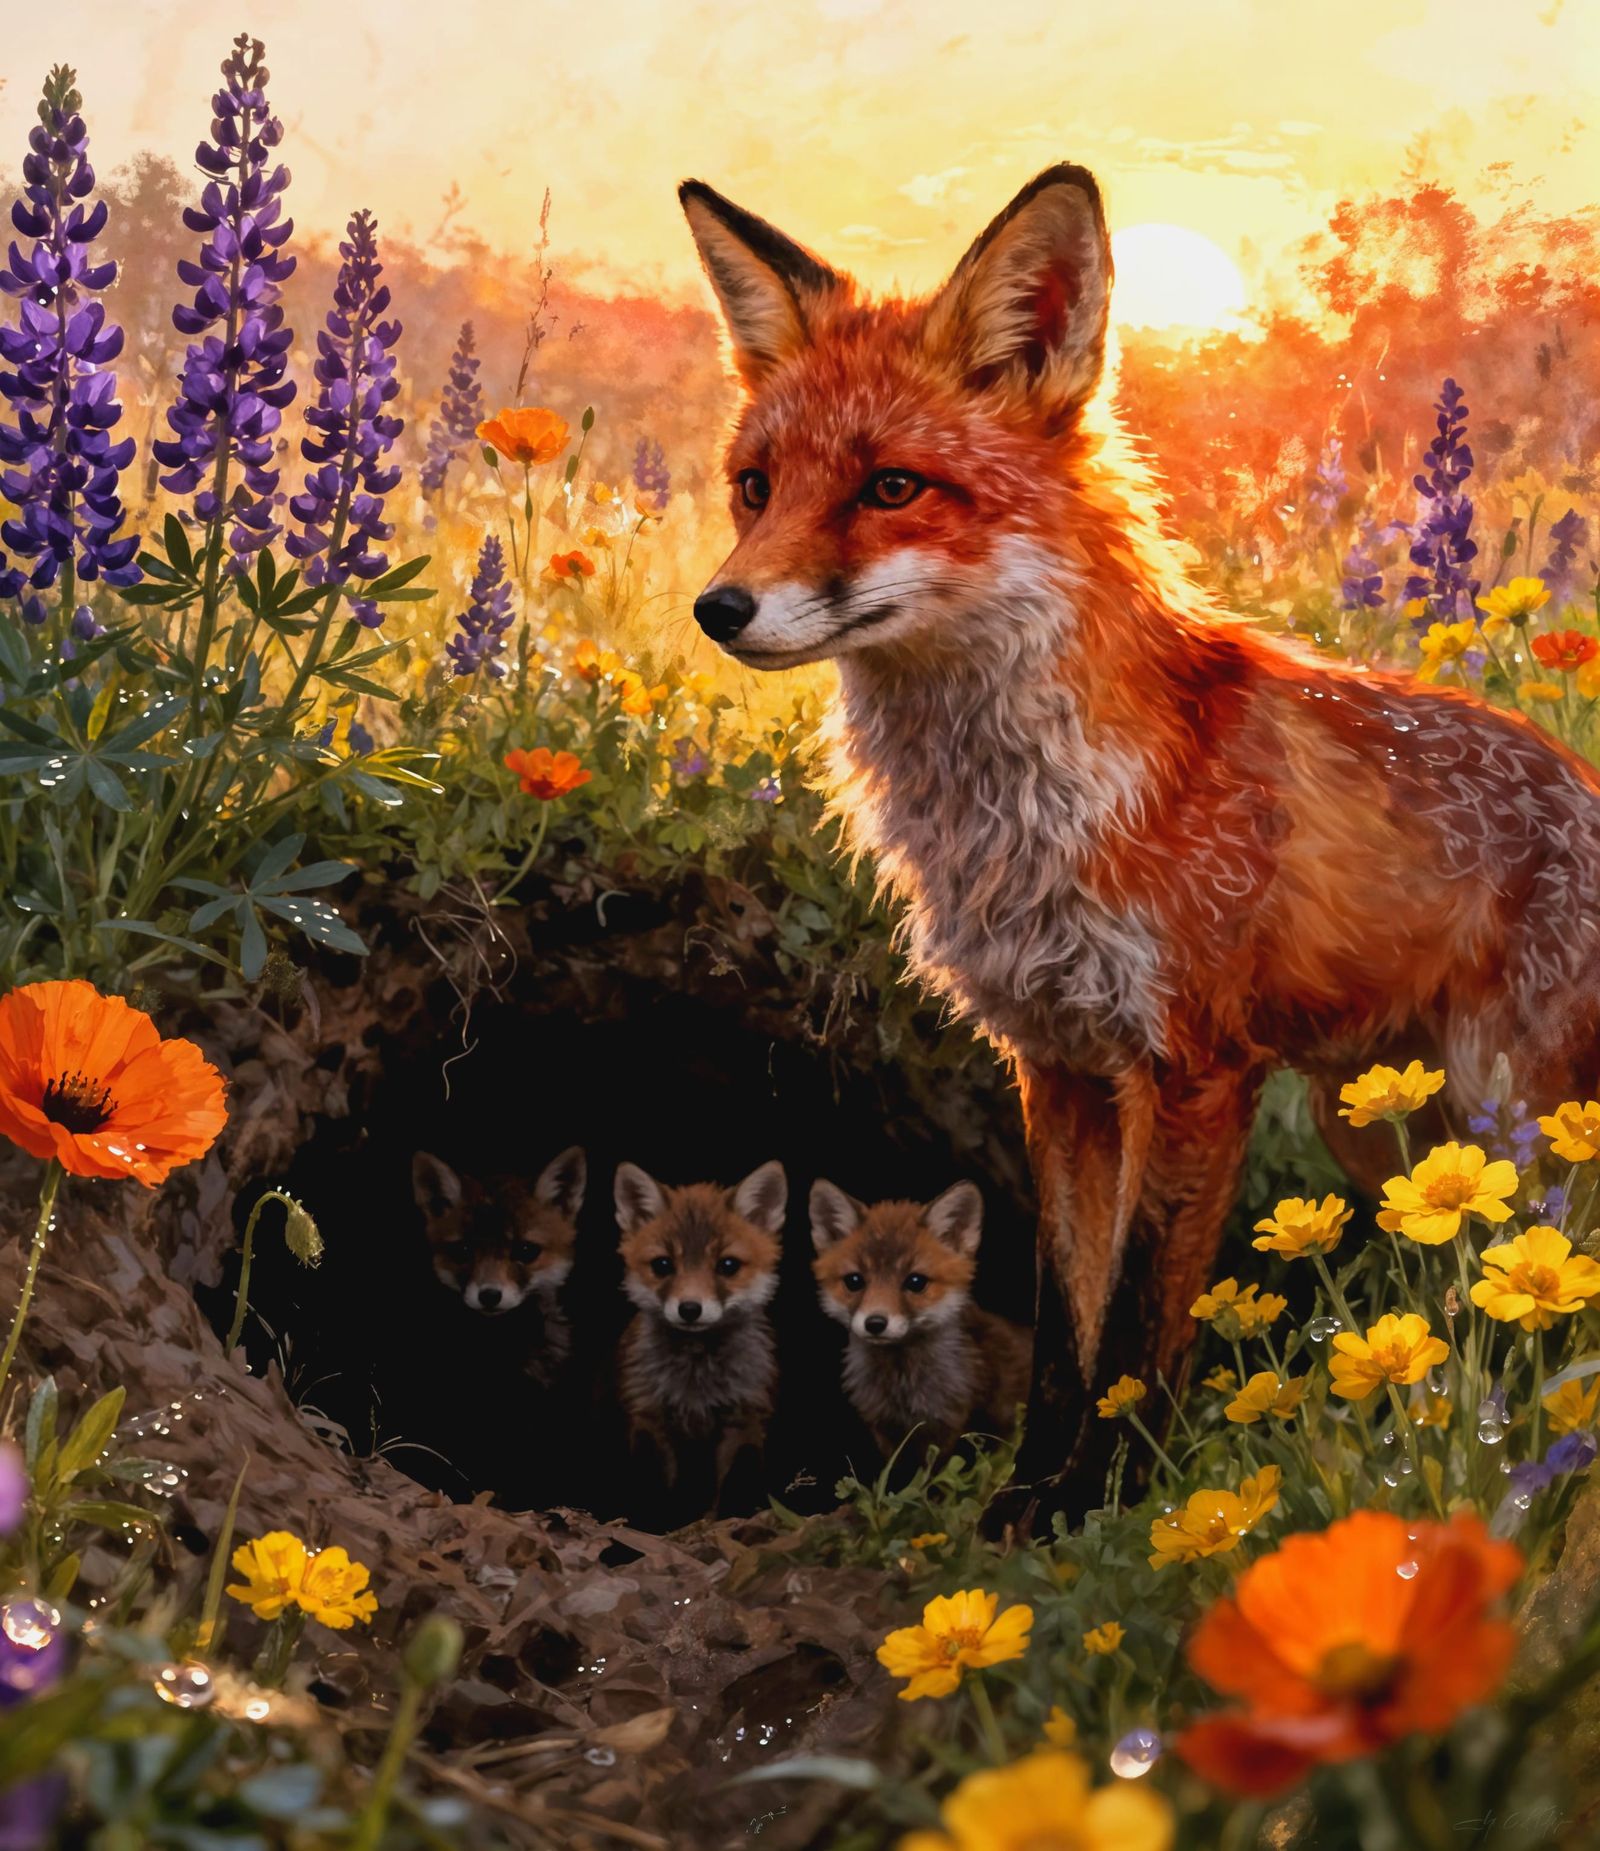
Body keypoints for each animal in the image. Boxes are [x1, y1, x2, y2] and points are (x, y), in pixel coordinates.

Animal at [614, 1159, 787, 1515]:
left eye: (728, 1265)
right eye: (663, 1265)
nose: (690, 1309)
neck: (696, 1385)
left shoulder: (746, 1416)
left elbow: (736, 1482)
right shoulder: (648, 1416)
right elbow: (656, 1487)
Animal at [810, 1179, 1031, 1460]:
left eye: (915, 1282)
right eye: (854, 1281)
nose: (875, 1323)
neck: (903, 1385)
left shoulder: (957, 1427)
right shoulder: (885, 1430)